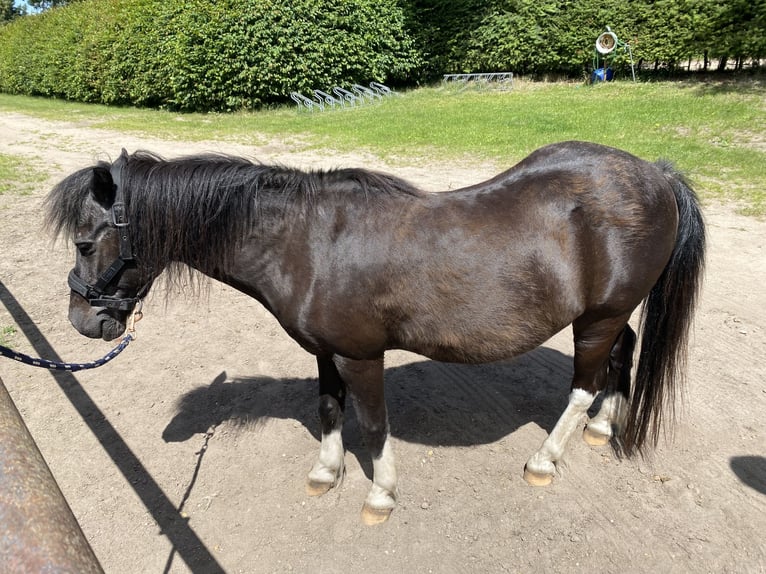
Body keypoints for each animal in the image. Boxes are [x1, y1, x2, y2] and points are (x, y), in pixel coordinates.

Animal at [46, 141, 708, 528]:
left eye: (85, 242)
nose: (85, 322)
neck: (306, 243)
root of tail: (656, 176)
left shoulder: (361, 355)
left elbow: (373, 423)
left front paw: (380, 495)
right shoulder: (325, 354)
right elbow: (328, 408)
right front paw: (326, 473)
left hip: (598, 318)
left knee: (583, 384)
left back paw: (545, 459)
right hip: (609, 315)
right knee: (622, 356)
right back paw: (603, 428)